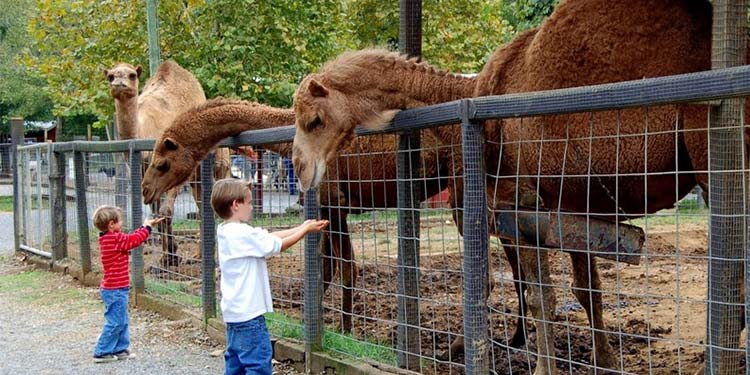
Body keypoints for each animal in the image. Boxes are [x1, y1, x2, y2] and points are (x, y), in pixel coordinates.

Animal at [290, 0, 748, 374]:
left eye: (314, 120)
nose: (299, 169)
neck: (471, 92)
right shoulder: (571, 202)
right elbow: (587, 290)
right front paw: (606, 360)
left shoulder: (522, 197)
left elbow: (541, 294)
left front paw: (545, 366)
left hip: (713, 146)